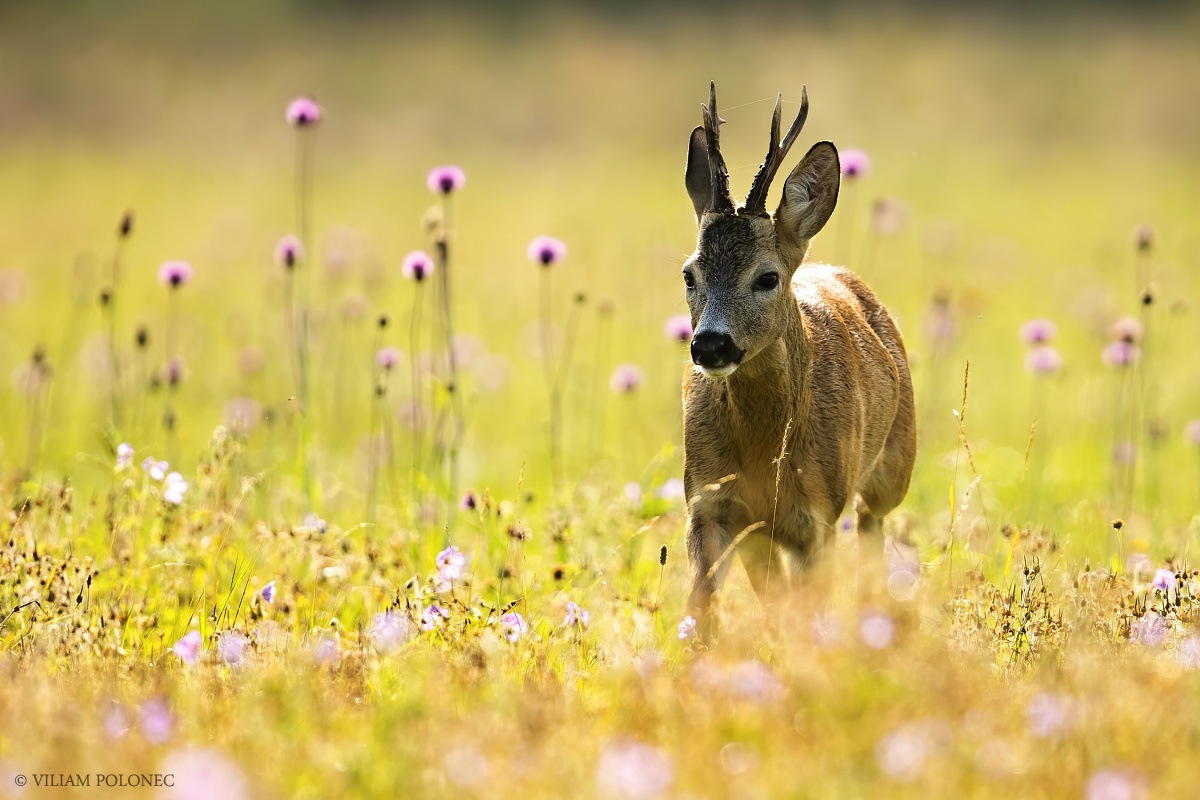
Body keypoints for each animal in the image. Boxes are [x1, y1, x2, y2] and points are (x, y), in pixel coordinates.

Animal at [681, 82, 912, 638]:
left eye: (767, 277)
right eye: (689, 274)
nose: (710, 345)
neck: (765, 452)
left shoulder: (818, 515)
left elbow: (812, 613)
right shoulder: (707, 502)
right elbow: (701, 607)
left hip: (893, 467)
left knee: (871, 531)